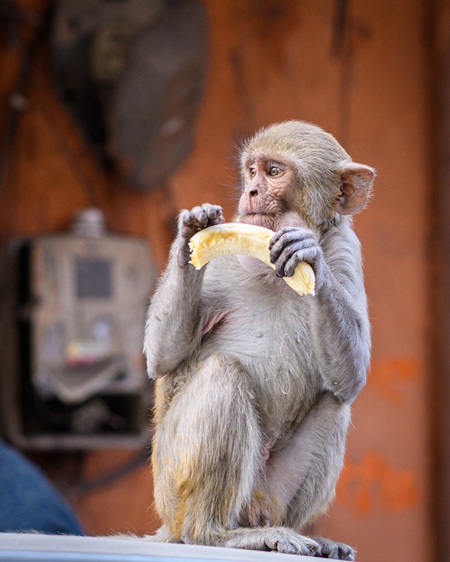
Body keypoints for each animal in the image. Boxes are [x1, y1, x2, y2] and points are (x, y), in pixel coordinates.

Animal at [143, 120, 372, 556]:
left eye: (274, 172)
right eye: (252, 171)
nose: (250, 192)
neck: (271, 273)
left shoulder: (346, 248)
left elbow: (349, 378)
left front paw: (310, 257)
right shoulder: (224, 257)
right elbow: (163, 355)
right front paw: (191, 231)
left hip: (270, 493)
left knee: (336, 403)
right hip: (170, 486)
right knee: (224, 374)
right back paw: (213, 534)